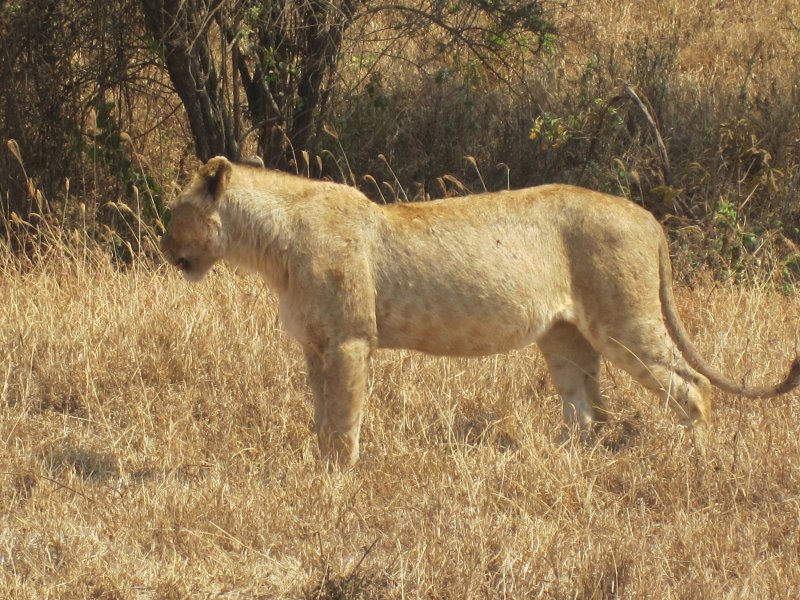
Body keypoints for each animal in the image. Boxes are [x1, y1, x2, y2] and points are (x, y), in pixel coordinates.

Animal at [159, 156, 800, 467]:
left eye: (172, 213)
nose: (164, 250)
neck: (267, 245)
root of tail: (648, 217)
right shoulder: (317, 345)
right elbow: (321, 417)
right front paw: (316, 472)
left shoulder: (349, 340)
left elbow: (342, 420)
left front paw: (338, 482)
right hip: (564, 336)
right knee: (586, 410)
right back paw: (558, 464)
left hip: (625, 324)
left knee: (693, 386)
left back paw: (699, 459)